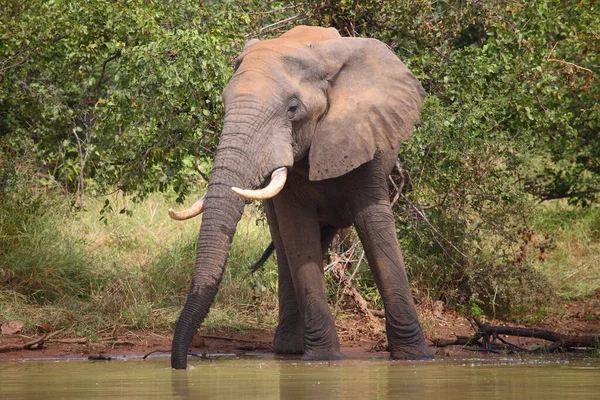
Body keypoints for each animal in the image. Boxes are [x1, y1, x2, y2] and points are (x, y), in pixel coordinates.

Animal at [169, 24, 432, 368]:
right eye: (224, 104)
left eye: (293, 109)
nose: (182, 365)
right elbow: (297, 233)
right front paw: (323, 359)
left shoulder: (366, 136)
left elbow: (375, 227)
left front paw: (415, 358)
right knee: (286, 246)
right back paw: (289, 349)